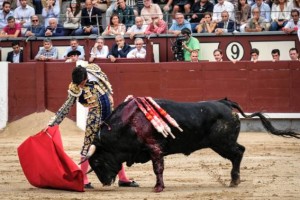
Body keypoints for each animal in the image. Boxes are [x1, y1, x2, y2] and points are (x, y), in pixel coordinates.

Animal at [88, 98, 298, 192]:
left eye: (97, 162)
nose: (105, 182)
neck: (130, 122)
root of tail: (225, 103)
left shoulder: (155, 148)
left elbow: (158, 168)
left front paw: (158, 188)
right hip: (222, 143)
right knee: (239, 152)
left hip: (222, 143)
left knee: (239, 152)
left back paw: (234, 180)